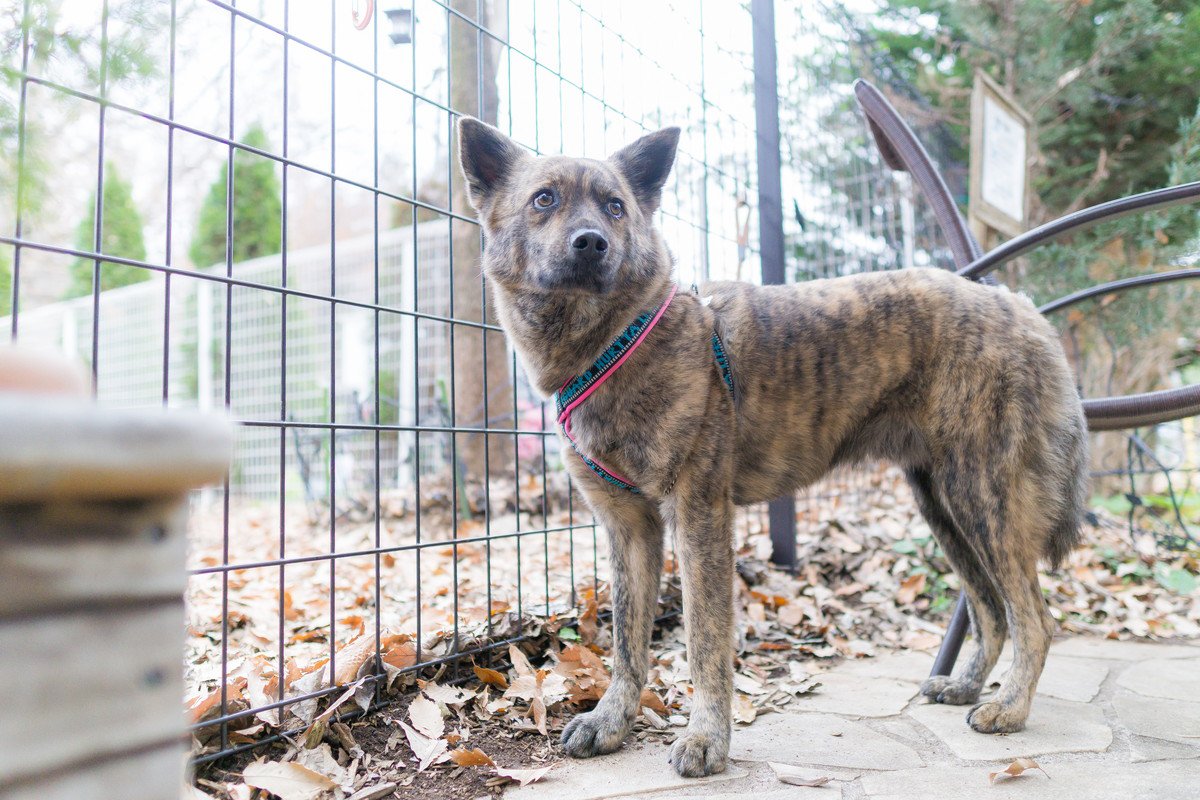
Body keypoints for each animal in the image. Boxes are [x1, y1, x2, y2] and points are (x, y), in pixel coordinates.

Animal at [456, 117, 1089, 777]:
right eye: (544, 199)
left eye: (615, 207)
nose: (591, 243)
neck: (619, 341)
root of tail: (1020, 307)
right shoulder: (630, 530)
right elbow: (629, 642)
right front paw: (612, 722)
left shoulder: (700, 518)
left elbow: (704, 641)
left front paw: (707, 739)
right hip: (944, 506)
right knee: (992, 611)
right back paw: (967, 686)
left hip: (982, 499)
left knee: (1034, 618)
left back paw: (1009, 709)